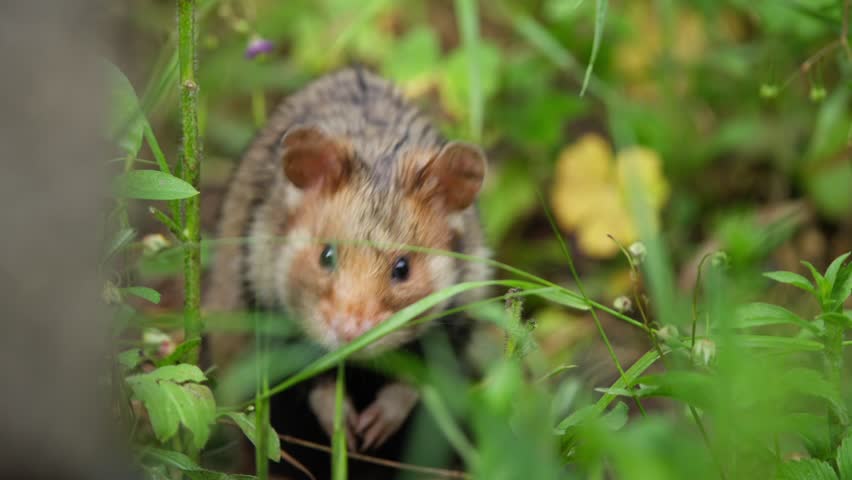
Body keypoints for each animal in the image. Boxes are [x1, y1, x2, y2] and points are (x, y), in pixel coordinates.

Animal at [205, 67, 491, 479]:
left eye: (403, 268)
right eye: (326, 255)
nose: (350, 335)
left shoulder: (456, 325)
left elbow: (414, 382)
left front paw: (371, 431)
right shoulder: (269, 313)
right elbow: (313, 383)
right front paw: (347, 429)